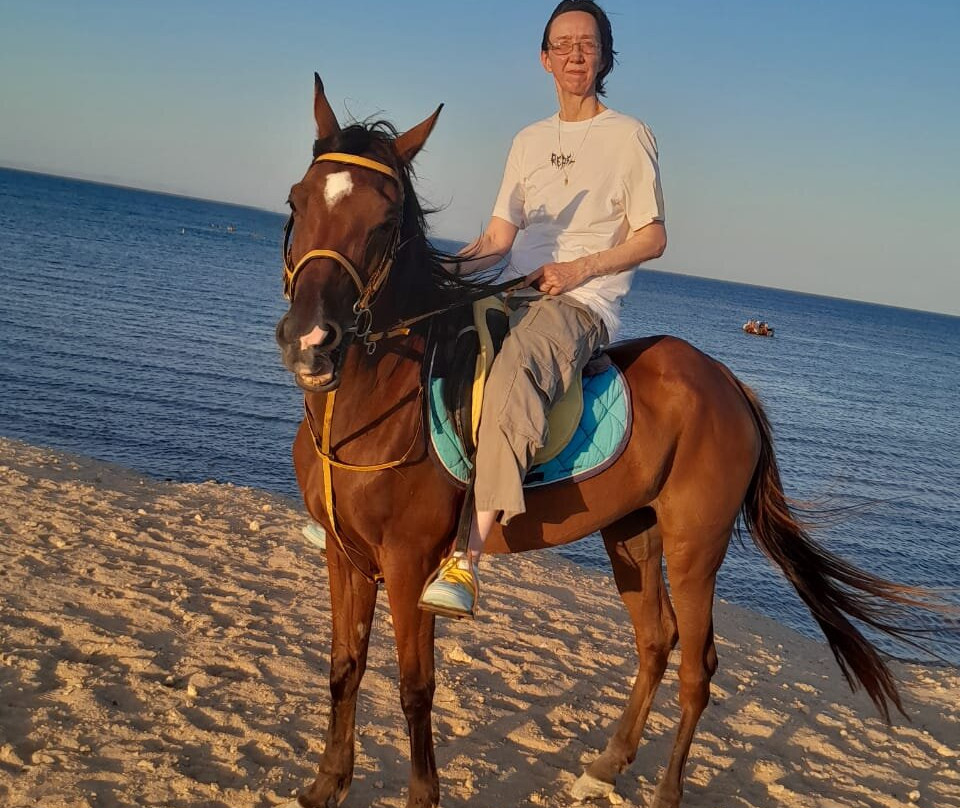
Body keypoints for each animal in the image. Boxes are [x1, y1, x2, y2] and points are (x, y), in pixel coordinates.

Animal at [272, 75, 930, 808]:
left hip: (694, 547)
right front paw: (326, 783)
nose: (312, 340)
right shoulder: (345, 554)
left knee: (699, 664)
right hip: (632, 533)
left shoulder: (409, 560)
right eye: (297, 201)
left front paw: (420, 796)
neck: (378, 399)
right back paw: (608, 763)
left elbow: (416, 689)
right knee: (656, 641)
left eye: (385, 224)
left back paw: (666, 791)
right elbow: (344, 666)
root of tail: (729, 384)